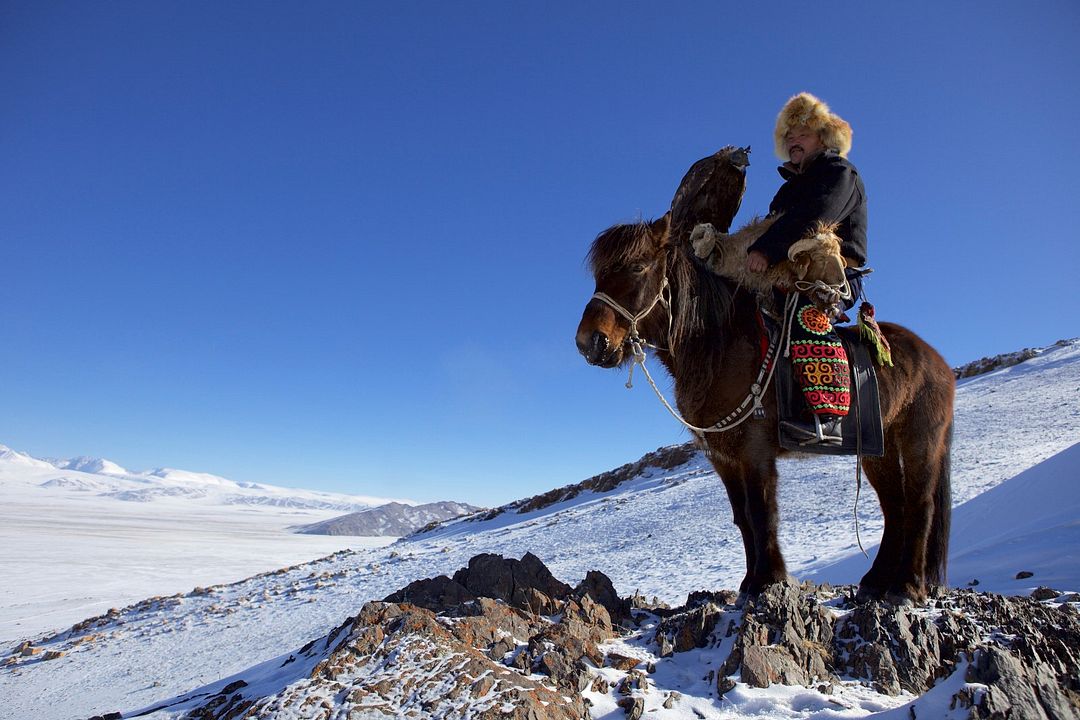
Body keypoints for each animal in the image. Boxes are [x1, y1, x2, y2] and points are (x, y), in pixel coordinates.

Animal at [574, 216, 954, 604]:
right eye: (599, 276)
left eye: (637, 267)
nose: (590, 342)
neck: (720, 350)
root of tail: (936, 360)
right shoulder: (722, 458)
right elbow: (742, 517)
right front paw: (749, 580)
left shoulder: (754, 450)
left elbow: (761, 512)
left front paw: (768, 579)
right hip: (879, 449)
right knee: (894, 506)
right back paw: (876, 580)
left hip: (919, 440)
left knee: (920, 503)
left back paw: (907, 585)